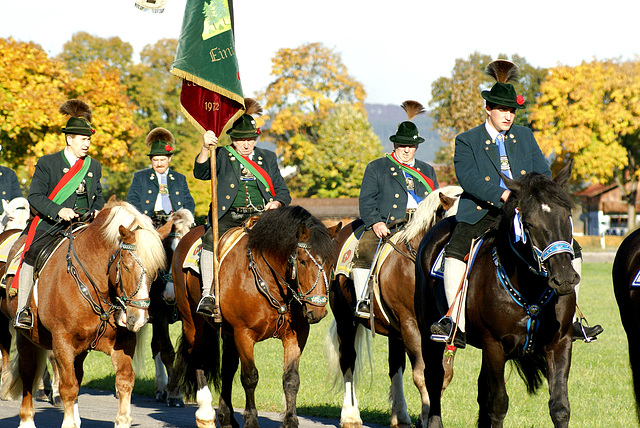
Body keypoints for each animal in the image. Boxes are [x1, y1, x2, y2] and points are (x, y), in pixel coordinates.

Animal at [0, 200, 169, 428]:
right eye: (126, 266)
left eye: (155, 270)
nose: (138, 319)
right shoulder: (62, 341)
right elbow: (68, 387)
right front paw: (68, 421)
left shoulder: (124, 342)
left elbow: (124, 381)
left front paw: (122, 420)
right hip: (24, 335)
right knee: (28, 371)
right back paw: (27, 420)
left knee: (77, 373)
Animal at [169, 206, 340, 426]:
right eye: (302, 261)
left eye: (330, 263)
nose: (318, 311)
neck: (272, 281)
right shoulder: (244, 334)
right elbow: (250, 377)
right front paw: (251, 420)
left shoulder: (296, 335)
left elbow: (291, 379)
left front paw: (290, 421)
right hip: (192, 324)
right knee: (199, 359)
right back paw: (206, 413)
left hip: (227, 333)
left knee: (227, 368)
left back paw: (226, 416)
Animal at [324, 186, 460, 428]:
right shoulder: (411, 326)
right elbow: (422, 374)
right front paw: (426, 417)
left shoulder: (441, 331)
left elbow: (442, 375)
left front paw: (428, 417)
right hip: (345, 319)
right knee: (348, 360)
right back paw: (350, 415)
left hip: (395, 332)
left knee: (395, 365)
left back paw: (400, 415)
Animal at [416, 162, 580, 426]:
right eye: (529, 223)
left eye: (566, 216)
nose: (564, 278)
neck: (529, 288)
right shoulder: (494, 345)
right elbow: (498, 404)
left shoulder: (560, 342)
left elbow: (560, 406)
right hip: (427, 332)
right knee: (434, 378)